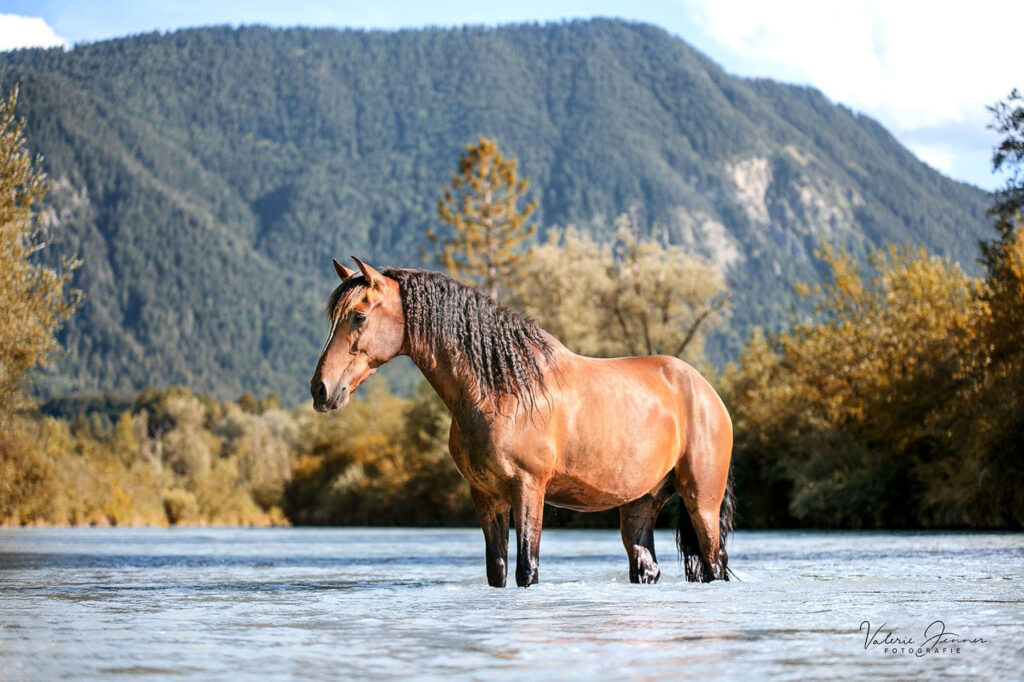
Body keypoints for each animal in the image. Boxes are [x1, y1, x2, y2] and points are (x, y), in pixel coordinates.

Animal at [310, 257, 735, 587]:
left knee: (714, 564)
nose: (320, 389)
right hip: (639, 504)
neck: (501, 389)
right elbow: (497, 571)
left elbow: (526, 570)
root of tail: (706, 391)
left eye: (359, 316)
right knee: (647, 567)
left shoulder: (529, 488)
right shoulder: (486, 495)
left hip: (702, 503)